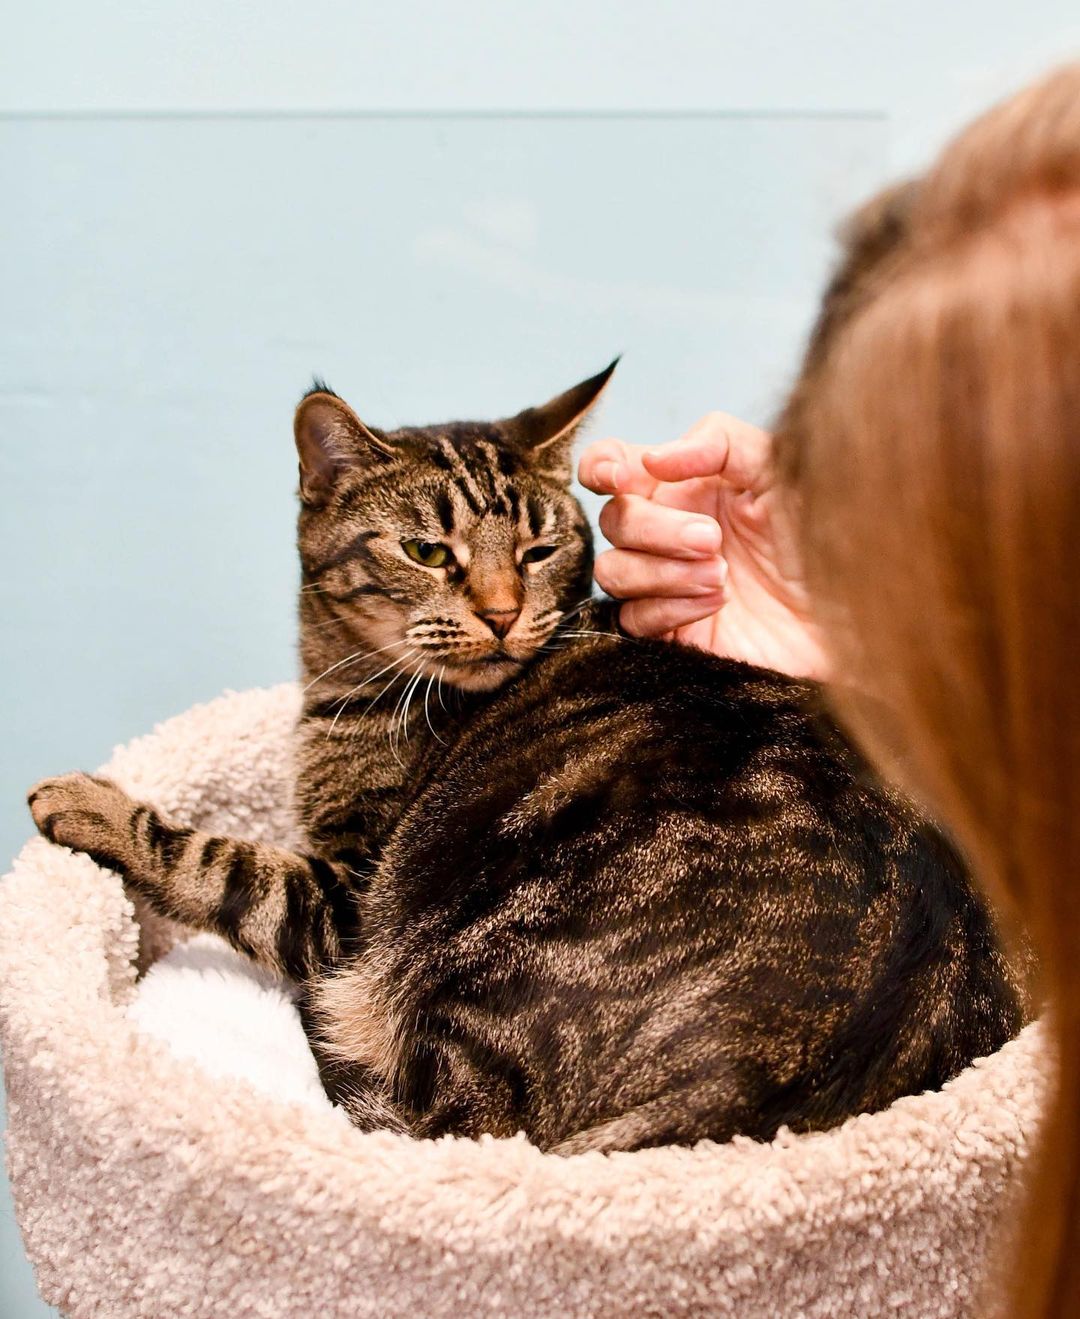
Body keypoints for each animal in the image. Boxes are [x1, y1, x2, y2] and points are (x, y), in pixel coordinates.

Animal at [23, 197, 1023, 1155]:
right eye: (430, 551)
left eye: (540, 549)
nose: (504, 611)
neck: (345, 690)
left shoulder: (346, 898)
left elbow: (222, 861)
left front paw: (82, 799)